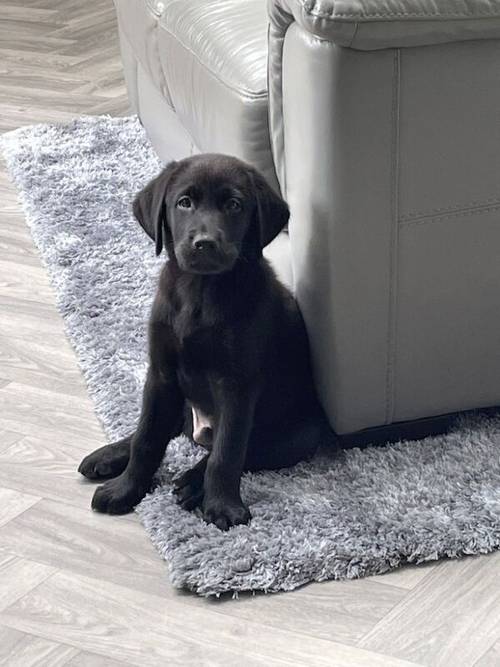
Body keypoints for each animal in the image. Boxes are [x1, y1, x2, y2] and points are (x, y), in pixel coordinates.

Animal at [79, 154, 332, 528]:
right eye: (184, 203)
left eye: (234, 205)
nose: (205, 243)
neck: (200, 291)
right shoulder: (161, 374)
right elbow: (147, 437)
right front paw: (126, 488)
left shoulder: (237, 386)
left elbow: (227, 453)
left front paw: (222, 506)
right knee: (161, 429)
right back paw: (108, 456)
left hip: (302, 432)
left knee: (237, 449)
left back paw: (190, 482)